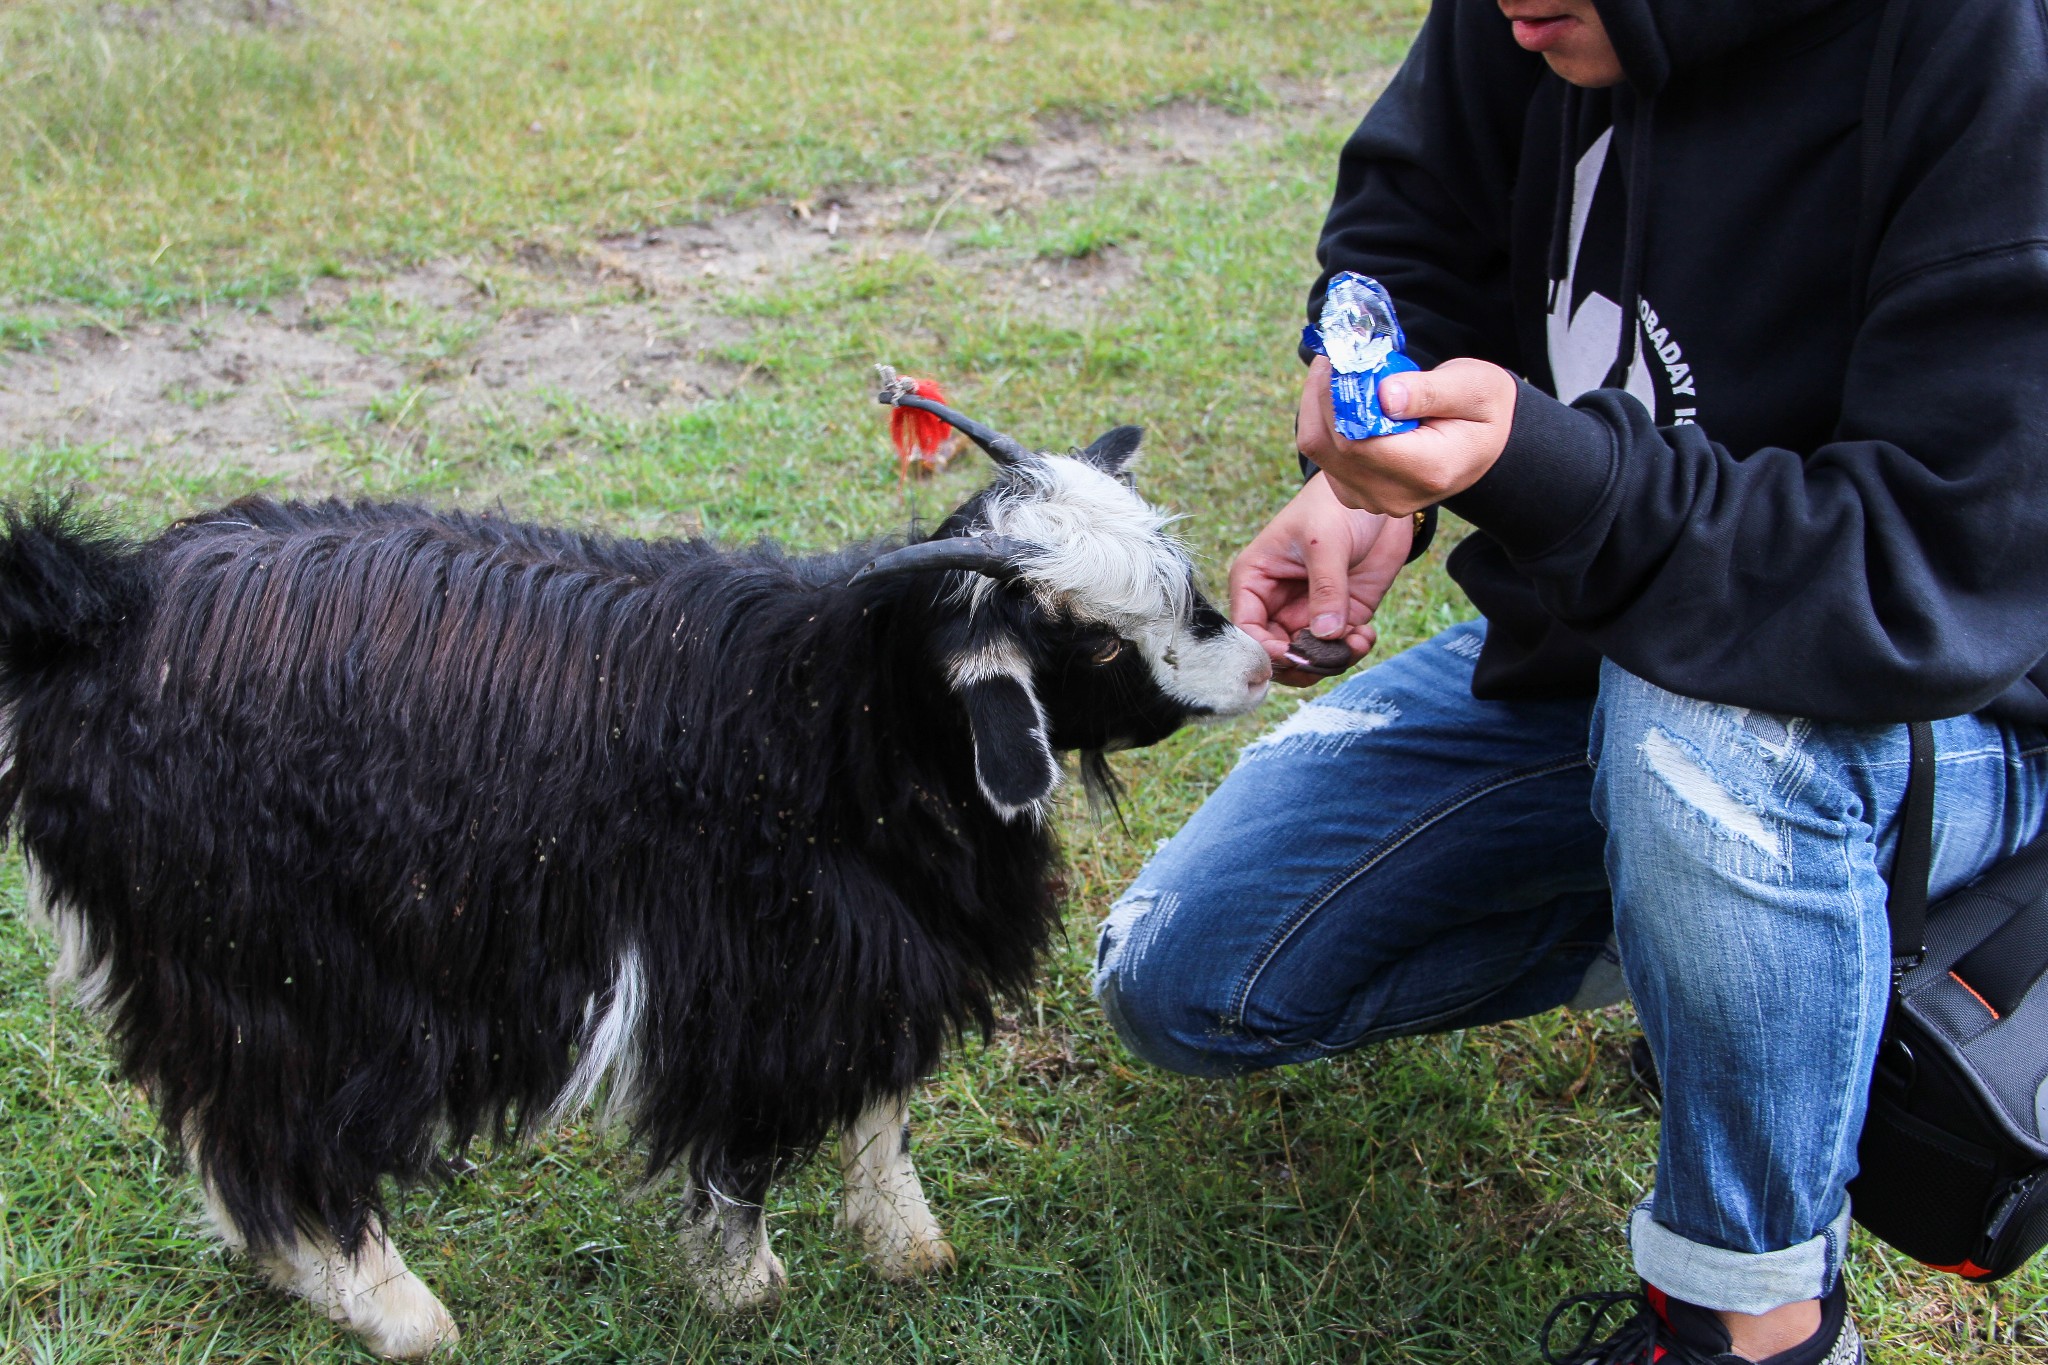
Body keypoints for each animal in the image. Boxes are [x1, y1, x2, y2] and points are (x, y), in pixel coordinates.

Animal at [0, 370, 1269, 1358]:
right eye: (1091, 639)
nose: (1258, 664)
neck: (838, 714)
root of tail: (97, 617)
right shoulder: (751, 964)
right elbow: (747, 1130)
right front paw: (744, 1286)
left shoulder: (872, 945)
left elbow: (877, 1098)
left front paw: (907, 1247)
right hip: (268, 958)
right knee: (271, 1128)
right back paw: (394, 1310)